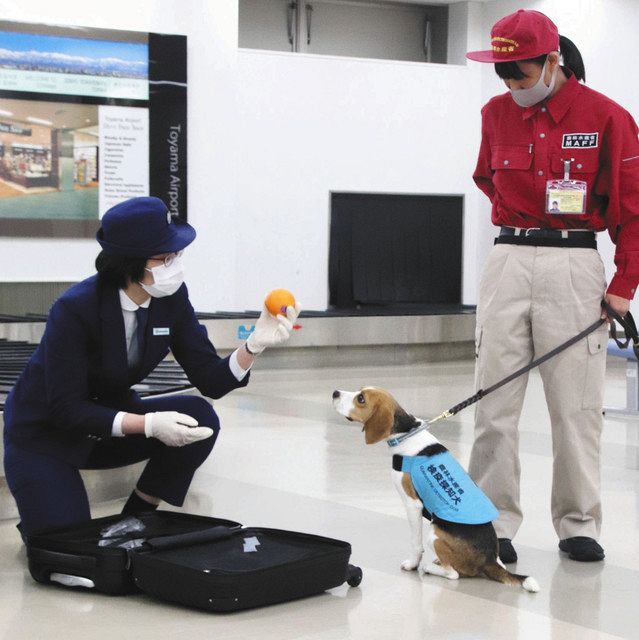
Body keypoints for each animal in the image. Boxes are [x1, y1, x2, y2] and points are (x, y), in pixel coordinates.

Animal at [336, 388, 540, 592]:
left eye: (361, 399)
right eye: (359, 391)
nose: (335, 393)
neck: (406, 433)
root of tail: (488, 559)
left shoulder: (413, 505)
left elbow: (415, 543)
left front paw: (412, 564)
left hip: (435, 534)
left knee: (453, 574)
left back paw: (429, 567)